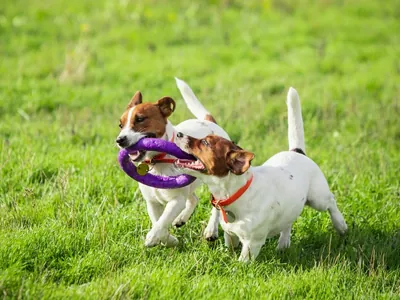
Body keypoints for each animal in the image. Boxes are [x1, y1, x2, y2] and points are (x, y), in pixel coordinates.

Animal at [114, 78, 230, 247]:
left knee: (216, 205)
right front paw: (169, 240)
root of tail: (208, 122)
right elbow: (158, 222)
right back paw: (181, 219)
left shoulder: (176, 200)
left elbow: (162, 221)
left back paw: (211, 230)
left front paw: (153, 237)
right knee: (193, 199)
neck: (157, 161)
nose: (120, 140)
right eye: (120, 125)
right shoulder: (152, 202)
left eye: (140, 119)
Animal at [174, 88, 346, 262]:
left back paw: (341, 225)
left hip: (318, 198)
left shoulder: (252, 244)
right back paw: (283, 243)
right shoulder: (230, 235)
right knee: (288, 222)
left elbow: (241, 262)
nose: (179, 134)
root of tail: (297, 151)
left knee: (331, 201)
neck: (235, 193)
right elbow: (230, 246)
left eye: (206, 143)